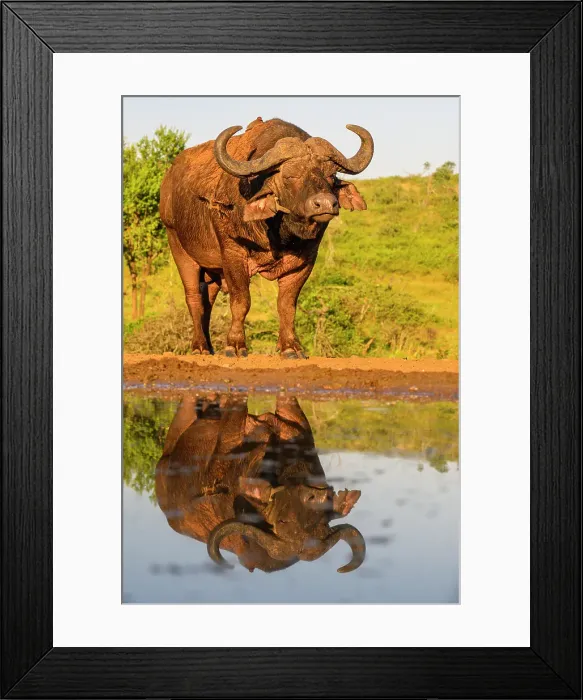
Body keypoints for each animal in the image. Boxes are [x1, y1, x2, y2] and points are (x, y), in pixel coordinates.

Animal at [159, 117, 373, 358]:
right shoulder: (233, 254)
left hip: (213, 270)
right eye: (289, 175)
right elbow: (241, 301)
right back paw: (200, 347)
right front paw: (235, 345)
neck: (280, 234)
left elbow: (287, 305)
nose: (326, 203)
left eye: (331, 175)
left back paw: (210, 346)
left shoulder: (306, 261)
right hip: (179, 248)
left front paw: (291, 347)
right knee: (194, 297)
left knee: (208, 301)